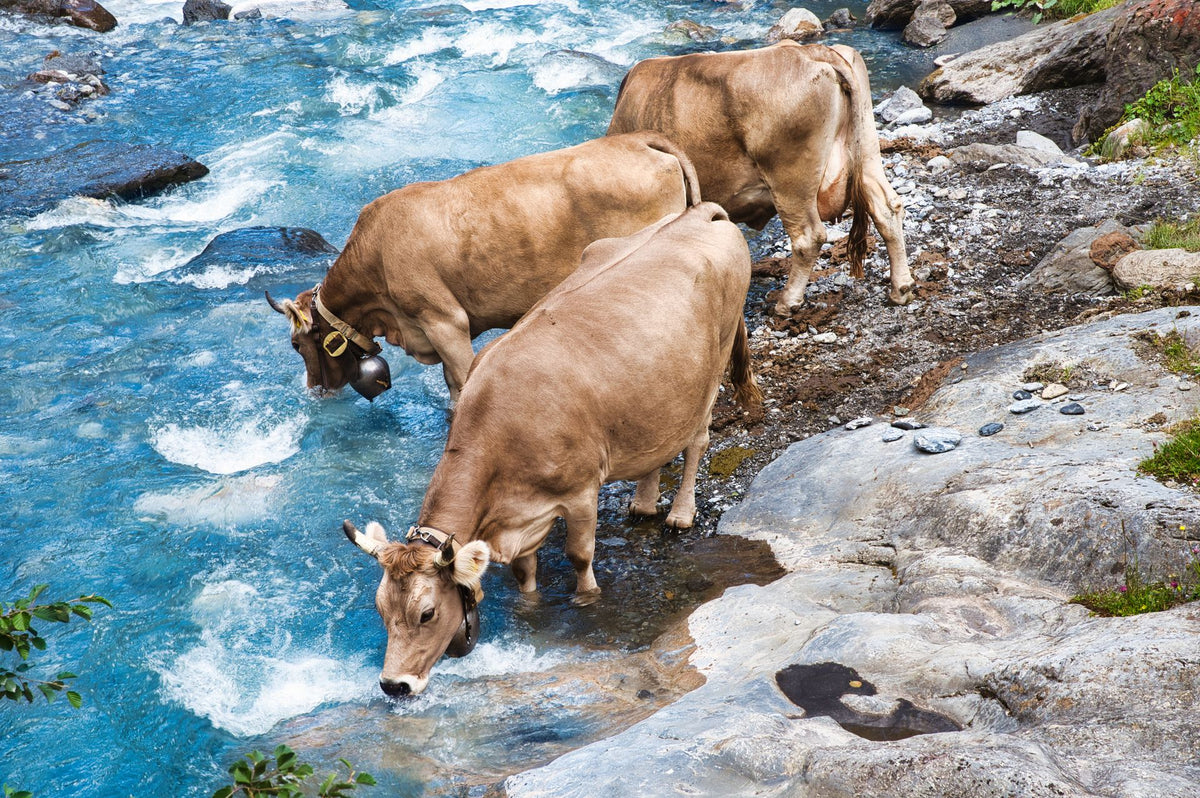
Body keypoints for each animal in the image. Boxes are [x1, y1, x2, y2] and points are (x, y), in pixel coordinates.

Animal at [341, 202, 762, 696]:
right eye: (381, 608)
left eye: (427, 613)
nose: (393, 684)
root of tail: (700, 213)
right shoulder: (520, 515)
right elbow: (525, 573)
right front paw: (530, 607)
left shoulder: (580, 492)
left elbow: (579, 555)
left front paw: (587, 599)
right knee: (656, 449)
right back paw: (642, 503)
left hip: (713, 369)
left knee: (697, 442)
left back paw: (680, 512)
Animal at [607, 41, 913, 316]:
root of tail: (811, 51)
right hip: (868, 150)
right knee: (887, 207)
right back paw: (901, 288)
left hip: (790, 179)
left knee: (808, 236)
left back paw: (787, 302)